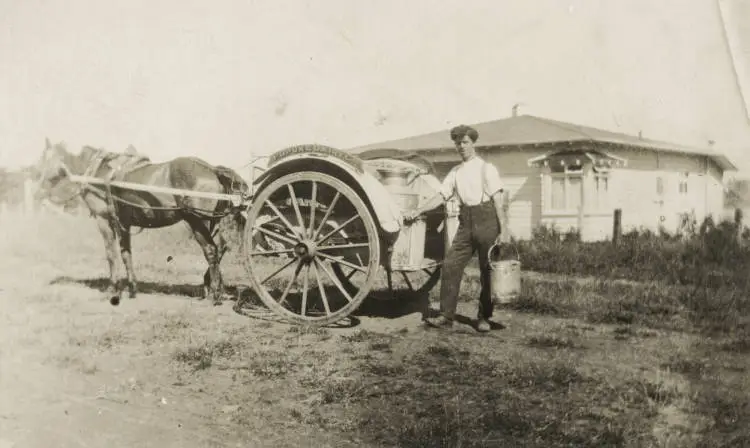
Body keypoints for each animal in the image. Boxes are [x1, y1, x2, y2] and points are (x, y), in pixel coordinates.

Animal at [34, 137, 250, 304]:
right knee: (220, 247)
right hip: (212, 221)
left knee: (211, 250)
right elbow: (126, 254)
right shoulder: (124, 223)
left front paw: (113, 289)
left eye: (44, 158)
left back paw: (214, 294)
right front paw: (132, 288)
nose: (38, 188)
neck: (98, 174)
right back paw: (212, 288)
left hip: (197, 221)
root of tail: (212, 169)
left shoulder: (104, 221)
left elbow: (111, 254)